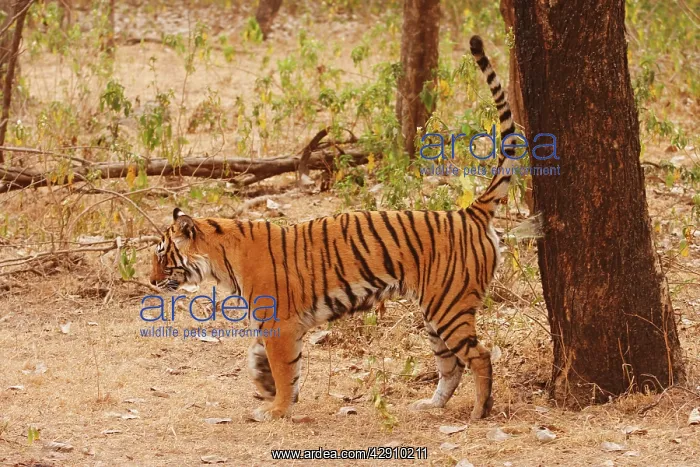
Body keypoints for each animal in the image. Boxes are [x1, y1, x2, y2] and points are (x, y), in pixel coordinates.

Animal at [149, 35, 517, 422]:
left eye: (162, 256)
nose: (151, 281)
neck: (221, 260)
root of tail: (469, 213)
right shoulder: (273, 324)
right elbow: (261, 357)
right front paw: (265, 387)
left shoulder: (280, 323)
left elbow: (284, 368)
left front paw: (277, 408)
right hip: (435, 312)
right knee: (451, 365)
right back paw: (430, 404)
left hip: (449, 306)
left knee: (479, 355)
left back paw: (480, 411)